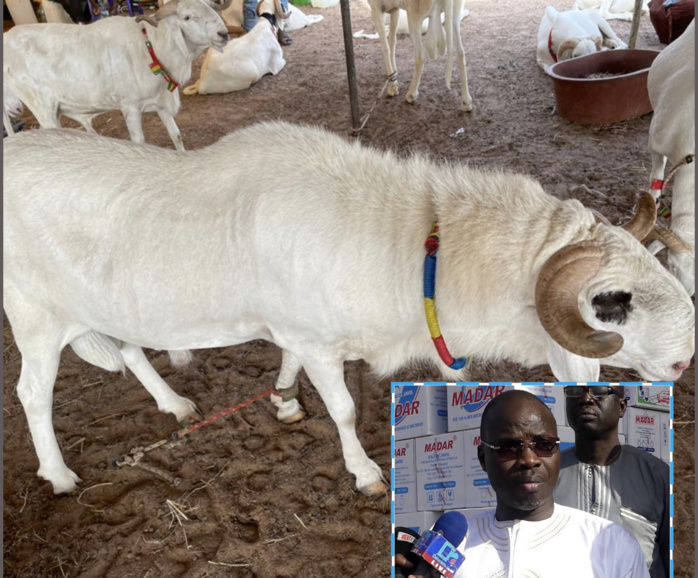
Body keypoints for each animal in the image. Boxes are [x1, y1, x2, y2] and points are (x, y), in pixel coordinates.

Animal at [2, 0, 231, 151]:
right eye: (187, 17)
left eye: (211, 9)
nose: (223, 34)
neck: (151, 47)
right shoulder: (130, 106)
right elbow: (139, 142)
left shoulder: (160, 101)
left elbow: (176, 135)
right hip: (42, 108)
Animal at [3, 122, 694, 496]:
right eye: (612, 303)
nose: (685, 361)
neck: (413, 245)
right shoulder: (315, 339)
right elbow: (340, 408)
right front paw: (363, 471)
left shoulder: (297, 330)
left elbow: (287, 363)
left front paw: (283, 400)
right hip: (34, 316)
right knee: (32, 393)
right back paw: (58, 474)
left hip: (101, 302)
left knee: (128, 348)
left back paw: (173, 405)